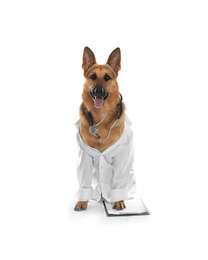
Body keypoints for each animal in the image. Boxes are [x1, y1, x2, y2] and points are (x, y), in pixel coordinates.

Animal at [74, 46, 136, 211]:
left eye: (107, 77)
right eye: (93, 76)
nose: (99, 91)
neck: (100, 116)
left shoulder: (121, 156)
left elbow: (118, 182)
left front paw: (118, 201)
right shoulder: (85, 156)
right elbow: (84, 180)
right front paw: (82, 201)